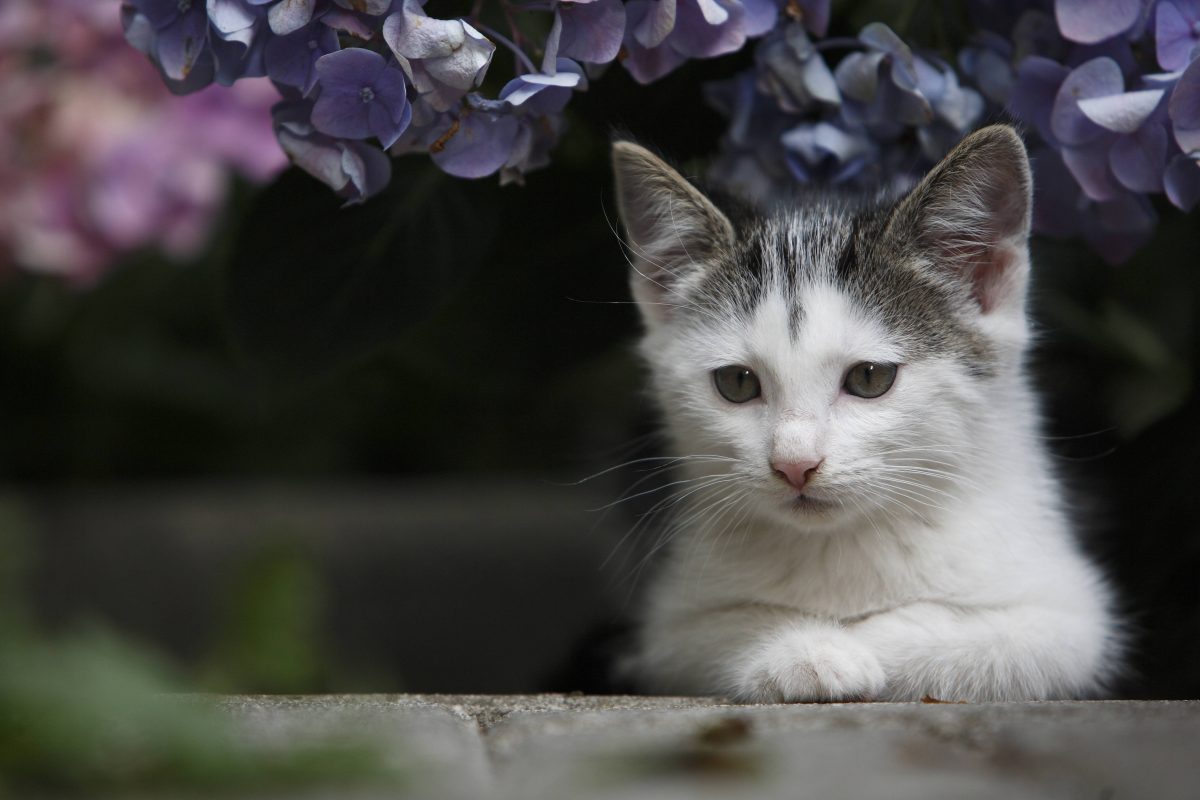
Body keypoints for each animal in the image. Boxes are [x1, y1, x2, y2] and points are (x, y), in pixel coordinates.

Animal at [614, 123, 1118, 700]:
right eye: (737, 383)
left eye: (870, 378)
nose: (794, 464)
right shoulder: (664, 630)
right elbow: (704, 632)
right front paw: (804, 648)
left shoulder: (1071, 616)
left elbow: (991, 639)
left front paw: (860, 643)